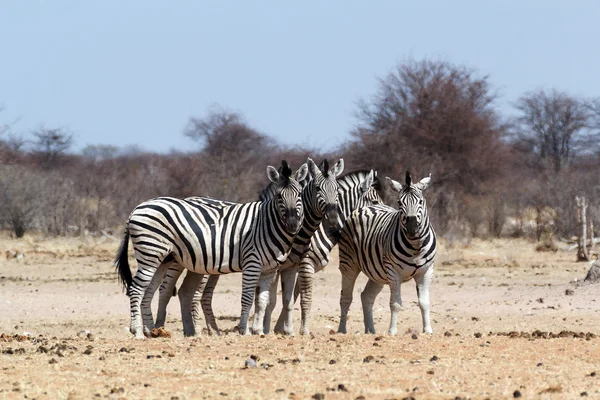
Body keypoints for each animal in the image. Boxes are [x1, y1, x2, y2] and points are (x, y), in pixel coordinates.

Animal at [115, 159, 308, 338]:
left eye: (299, 194)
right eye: (279, 197)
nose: (293, 224)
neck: (265, 223)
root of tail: (136, 209)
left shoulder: (270, 269)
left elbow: (262, 300)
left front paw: (259, 332)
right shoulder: (252, 263)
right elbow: (247, 298)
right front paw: (244, 331)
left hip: (162, 258)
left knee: (148, 290)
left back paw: (151, 330)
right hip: (150, 253)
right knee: (136, 289)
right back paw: (138, 332)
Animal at [152, 158, 344, 336]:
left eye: (337, 190)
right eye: (318, 188)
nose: (333, 219)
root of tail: (190, 198)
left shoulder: (290, 266)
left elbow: (285, 300)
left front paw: (285, 331)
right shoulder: (282, 266)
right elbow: (269, 300)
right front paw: (264, 329)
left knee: (190, 293)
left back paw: (201, 331)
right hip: (181, 261)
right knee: (169, 290)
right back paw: (162, 328)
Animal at [338, 171, 436, 334]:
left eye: (421, 201)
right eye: (399, 203)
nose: (411, 228)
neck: (415, 246)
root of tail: (366, 207)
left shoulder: (426, 271)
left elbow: (424, 302)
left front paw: (428, 330)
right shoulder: (393, 272)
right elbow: (395, 303)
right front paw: (392, 332)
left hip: (377, 273)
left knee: (366, 296)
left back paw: (370, 331)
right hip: (349, 264)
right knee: (345, 298)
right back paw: (341, 330)